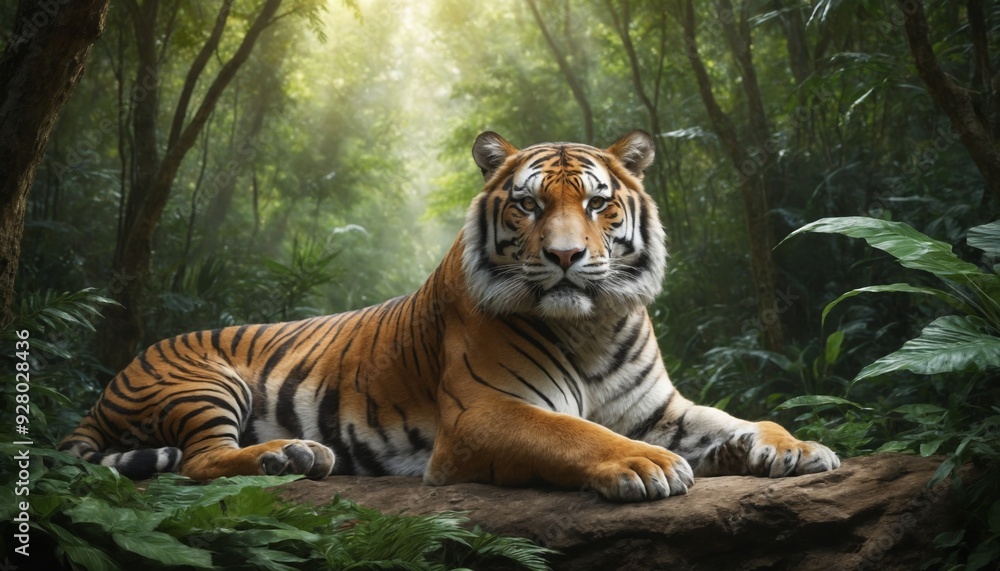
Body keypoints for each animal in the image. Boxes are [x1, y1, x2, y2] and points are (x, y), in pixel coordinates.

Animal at [59, 130, 840, 501]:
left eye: (597, 204)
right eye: (527, 204)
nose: (563, 256)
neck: (590, 322)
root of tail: (112, 378)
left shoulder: (660, 407)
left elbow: (741, 420)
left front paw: (797, 447)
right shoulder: (484, 412)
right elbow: (571, 432)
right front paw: (645, 464)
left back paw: (296, 455)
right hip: (205, 381)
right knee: (198, 462)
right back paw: (292, 455)